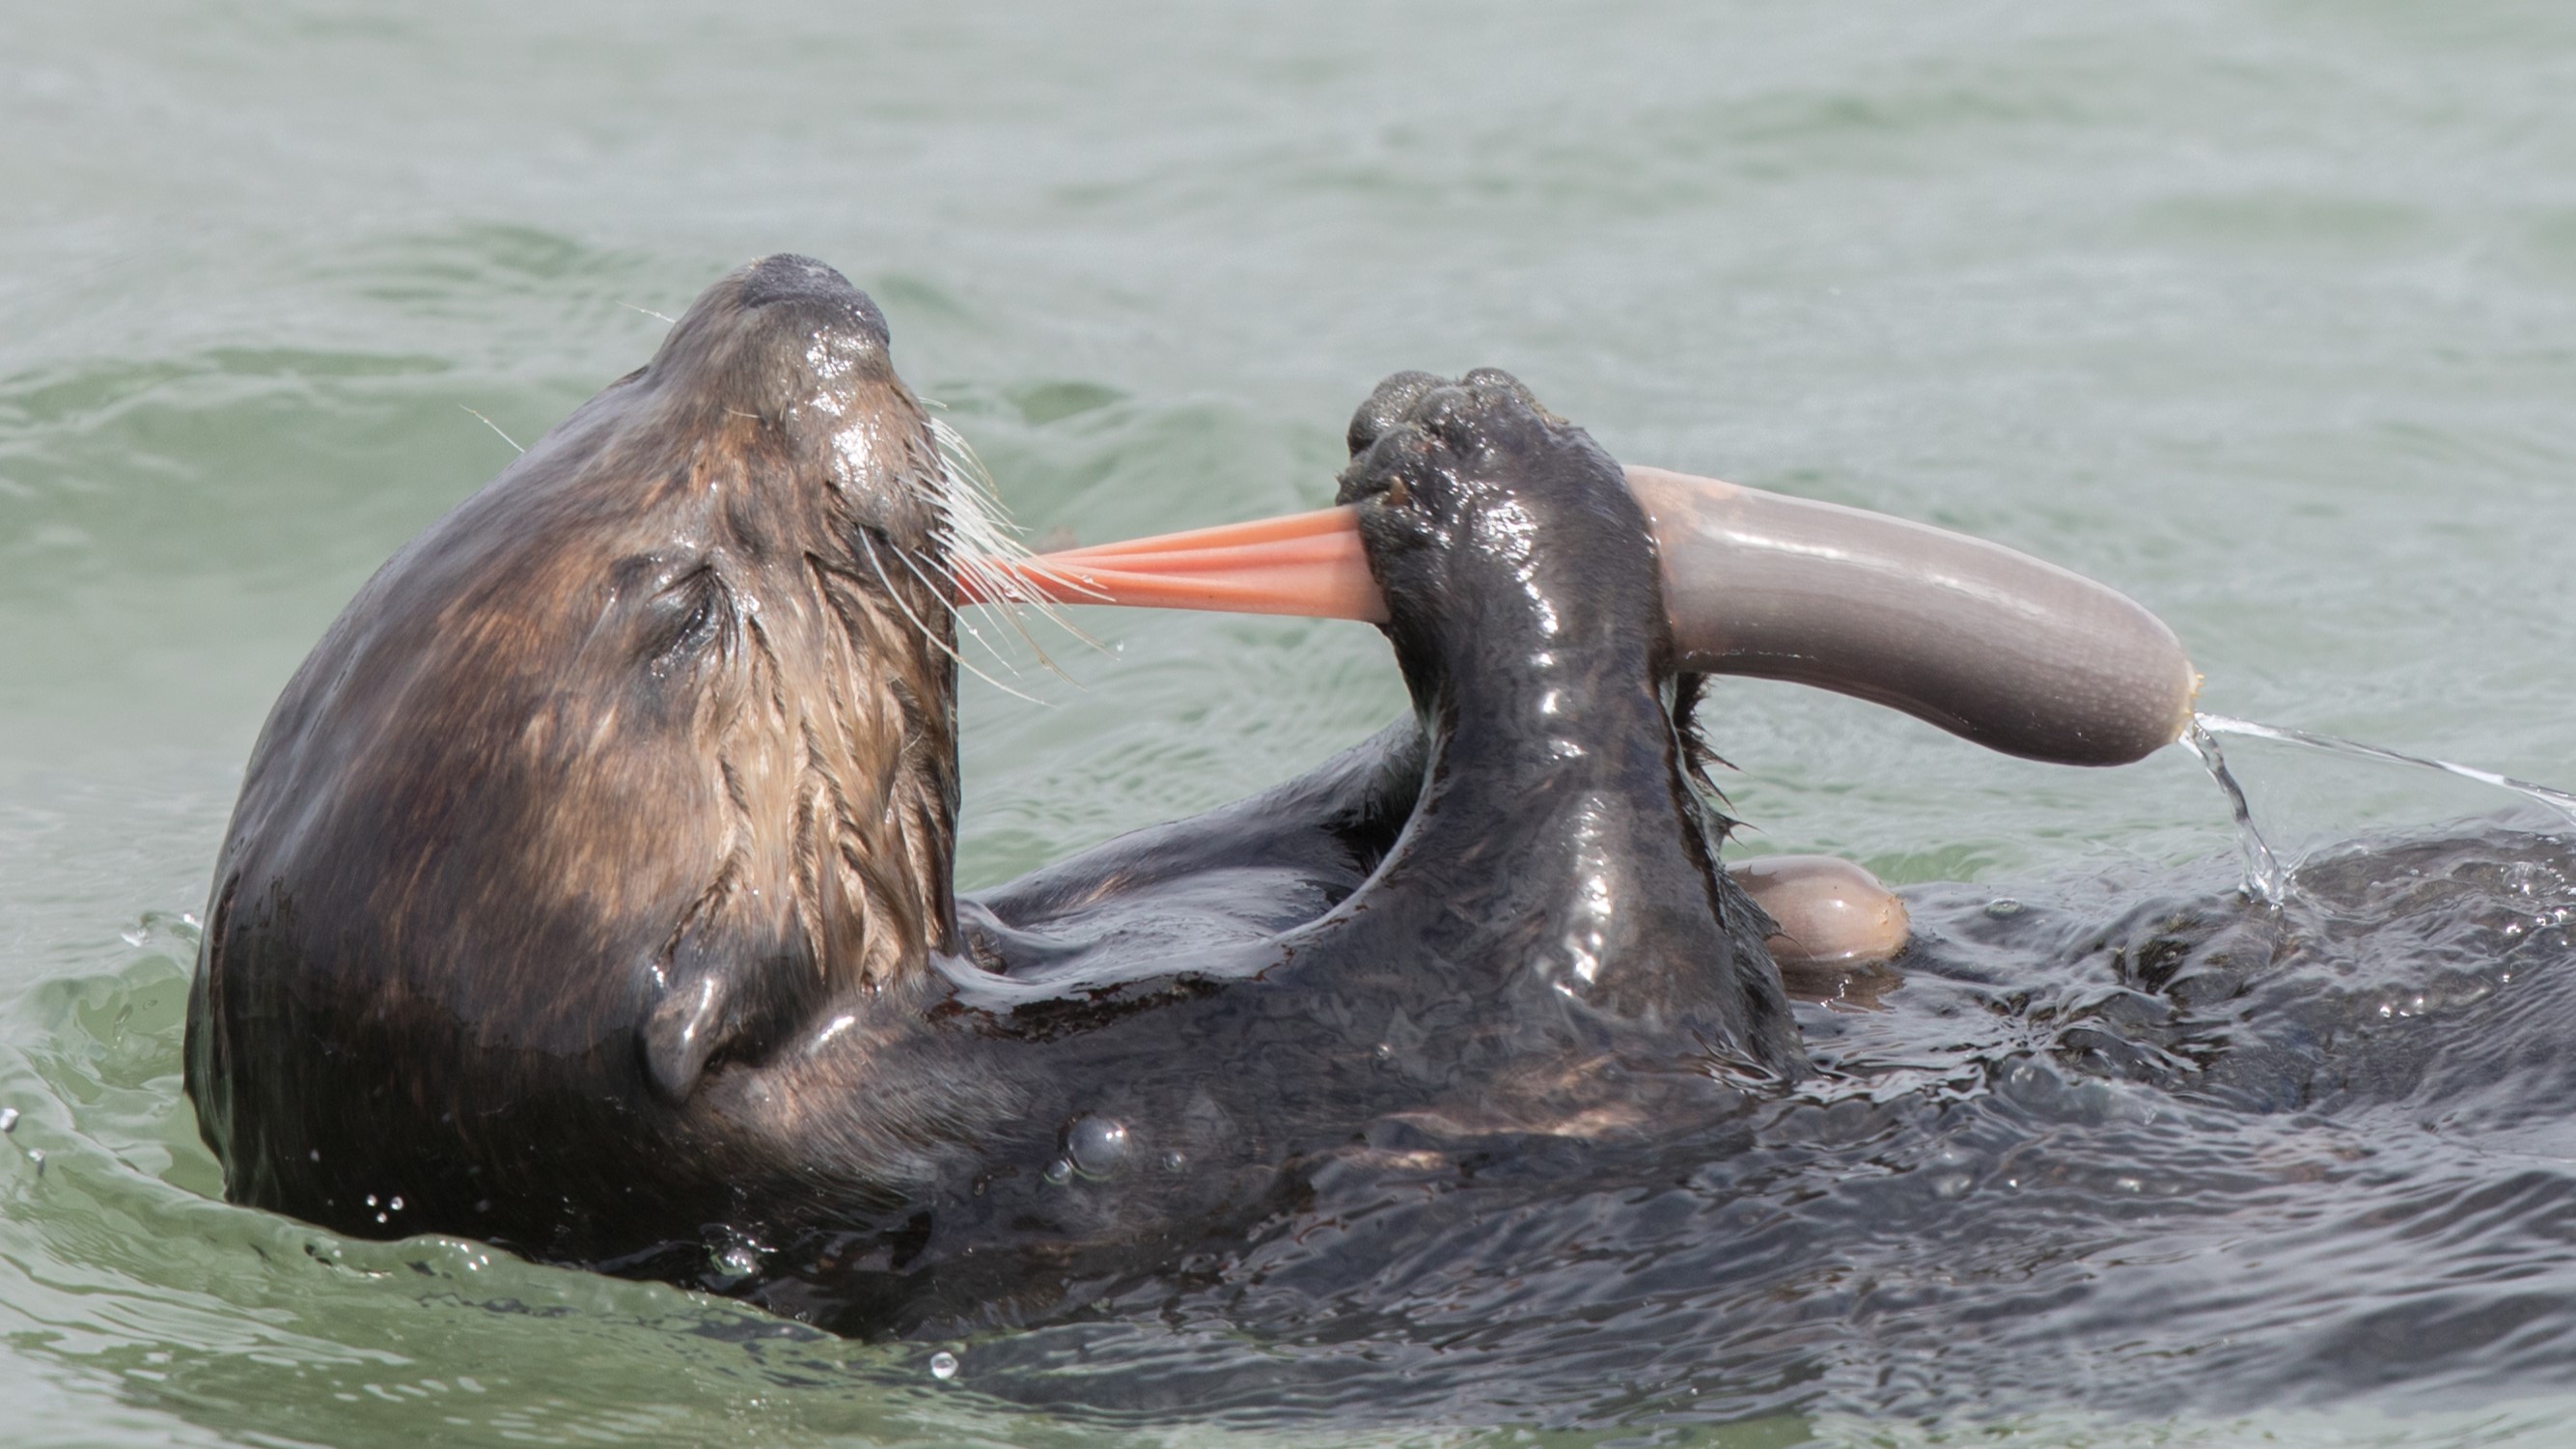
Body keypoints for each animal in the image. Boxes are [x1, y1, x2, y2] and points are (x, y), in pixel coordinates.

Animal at [184, 253, 1805, 1335]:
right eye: (686, 610)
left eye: (610, 399)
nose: (794, 292)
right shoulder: (1218, 1123)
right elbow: (1585, 921)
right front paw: (1477, 473)